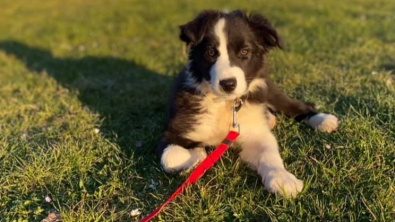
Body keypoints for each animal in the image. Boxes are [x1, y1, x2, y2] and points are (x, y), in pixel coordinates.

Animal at [158, 10, 340, 198]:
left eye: (245, 51)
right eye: (210, 53)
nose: (228, 84)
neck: (225, 103)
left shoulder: (256, 131)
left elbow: (268, 151)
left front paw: (283, 179)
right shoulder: (173, 131)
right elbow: (171, 157)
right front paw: (197, 153)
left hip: (269, 89)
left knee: (292, 105)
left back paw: (322, 119)